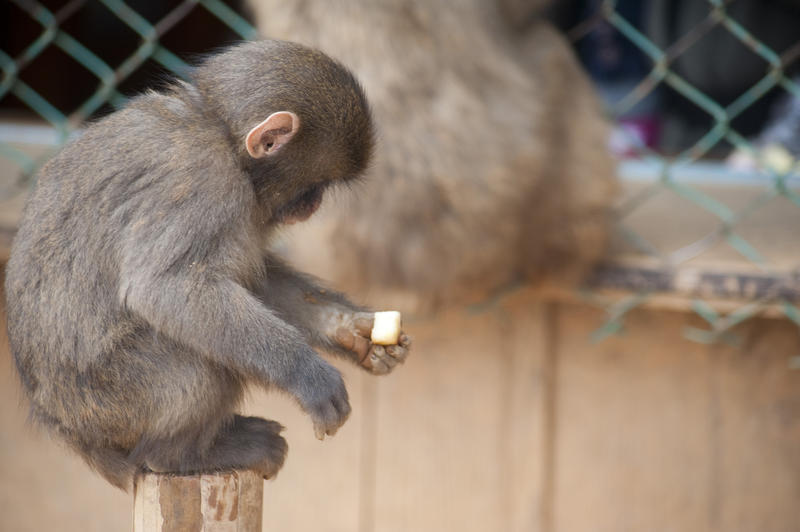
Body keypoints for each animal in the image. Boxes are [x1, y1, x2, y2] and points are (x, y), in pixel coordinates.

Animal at [3, 40, 410, 490]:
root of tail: (67, 430)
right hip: (114, 403)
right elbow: (167, 287)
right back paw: (177, 456)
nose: (314, 203)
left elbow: (252, 279)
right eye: (314, 186)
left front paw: (350, 329)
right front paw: (306, 373)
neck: (217, 127)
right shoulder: (208, 182)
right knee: (203, 367)